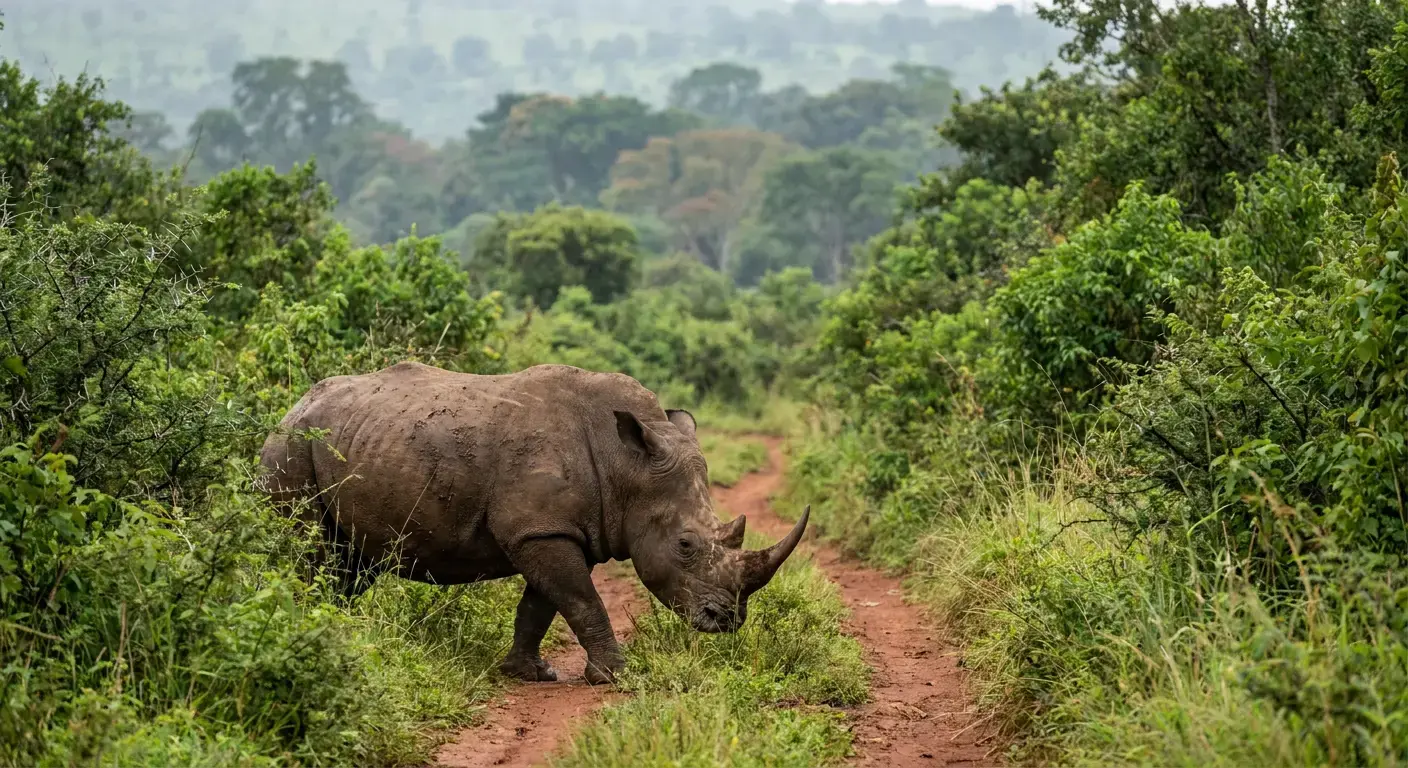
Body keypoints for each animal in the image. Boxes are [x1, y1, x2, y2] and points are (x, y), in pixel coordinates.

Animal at [257, 361, 809, 684]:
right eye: (686, 545)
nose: (727, 621)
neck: (626, 465)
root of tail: (292, 406)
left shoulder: (557, 529)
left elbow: (541, 605)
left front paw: (529, 672)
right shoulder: (541, 529)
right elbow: (581, 601)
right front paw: (615, 676)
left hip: (346, 440)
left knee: (350, 563)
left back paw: (341, 630)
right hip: (292, 448)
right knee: (312, 551)